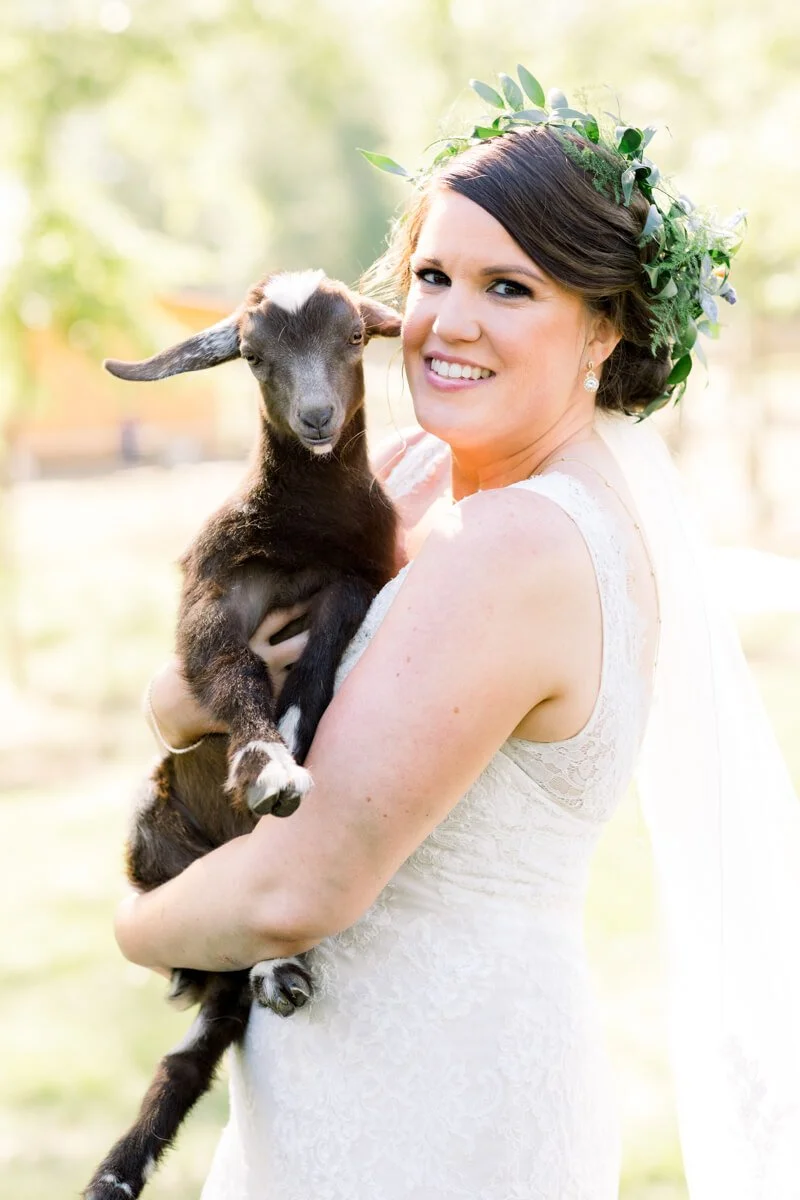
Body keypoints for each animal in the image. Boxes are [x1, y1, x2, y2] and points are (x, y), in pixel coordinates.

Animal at [83, 269, 401, 1200]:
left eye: (355, 338)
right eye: (254, 356)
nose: (317, 417)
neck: (305, 529)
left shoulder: (358, 579)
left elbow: (321, 659)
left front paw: (286, 746)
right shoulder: (219, 591)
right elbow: (228, 671)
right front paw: (266, 766)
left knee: (209, 1027)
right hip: (156, 848)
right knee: (203, 1013)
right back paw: (112, 1177)